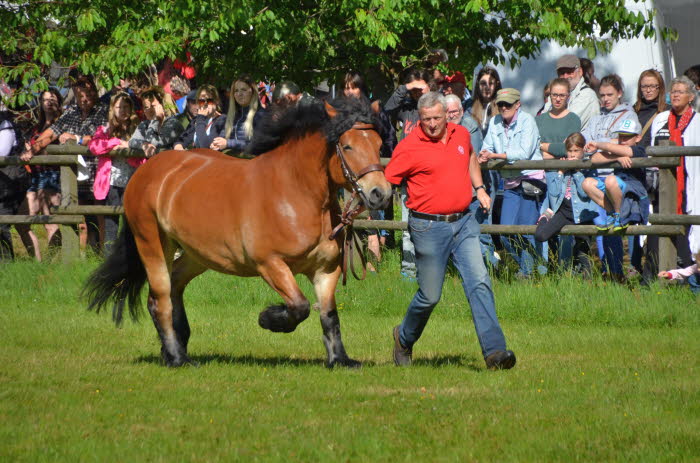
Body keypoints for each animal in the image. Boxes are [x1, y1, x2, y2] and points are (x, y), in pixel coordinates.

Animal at [82, 99, 394, 368]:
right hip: (153, 243)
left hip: (197, 254)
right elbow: (300, 306)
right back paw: (177, 358)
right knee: (160, 298)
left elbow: (329, 315)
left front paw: (340, 359)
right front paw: (268, 319)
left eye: (379, 144)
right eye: (348, 146)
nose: (381, 194)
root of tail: (148, 171)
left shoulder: (326, 270)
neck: (296, 193)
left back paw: (176, 346)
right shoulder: (270, 264)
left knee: (173, 288)